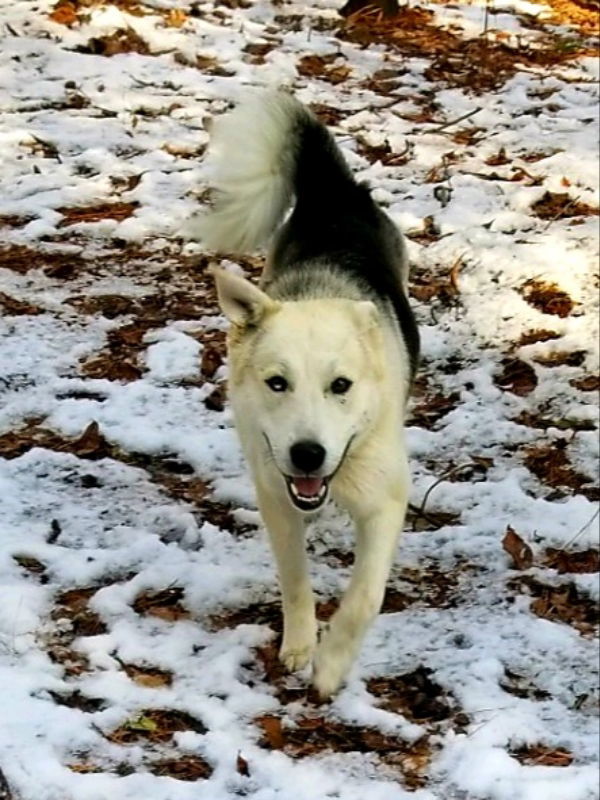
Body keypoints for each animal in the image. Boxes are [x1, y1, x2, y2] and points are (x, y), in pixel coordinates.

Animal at [196, 90, 418, 696]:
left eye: (340, 386)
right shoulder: (275, 494)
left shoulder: (385, 501)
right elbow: (294, 576)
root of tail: (334, 191)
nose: (308, 454)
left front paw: (334, 663)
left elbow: (364, 597)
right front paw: (300, 644)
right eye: (277, 383)